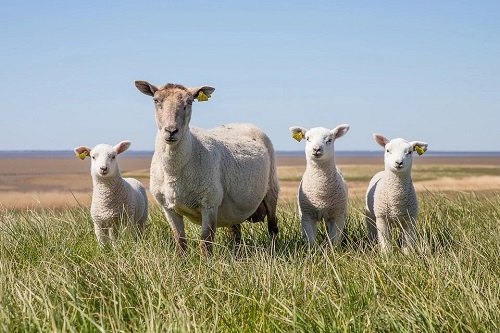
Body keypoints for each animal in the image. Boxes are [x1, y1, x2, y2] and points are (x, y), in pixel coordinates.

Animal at [135, 80, 280, 252]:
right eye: (156, 100)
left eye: (190, 102)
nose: (171, 131)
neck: (174, 171)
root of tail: (242, 123)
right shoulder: (168, 208)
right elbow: (180, 241)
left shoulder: (210, 204)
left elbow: (206, 241)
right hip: (234, 209)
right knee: (235, 232)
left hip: (271, 188)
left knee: (273, 226)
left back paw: (272, 250)